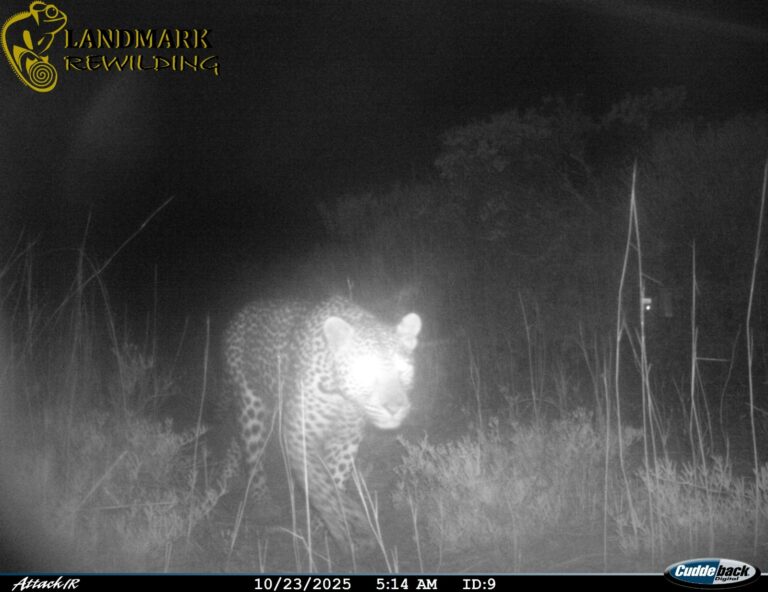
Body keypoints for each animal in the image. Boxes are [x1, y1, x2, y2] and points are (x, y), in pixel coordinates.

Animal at [221, 296, 422, 549]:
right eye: (365, 370)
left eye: (403, 370)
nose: (395, 408)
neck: (342, 398)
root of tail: (244, 311)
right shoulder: (298, 436)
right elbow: (320, 485)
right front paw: (347, 523)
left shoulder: (346, 441)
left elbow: (334, 480)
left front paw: (324, 526)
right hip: (250, 404)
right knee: (253, 455)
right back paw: (263, 504)